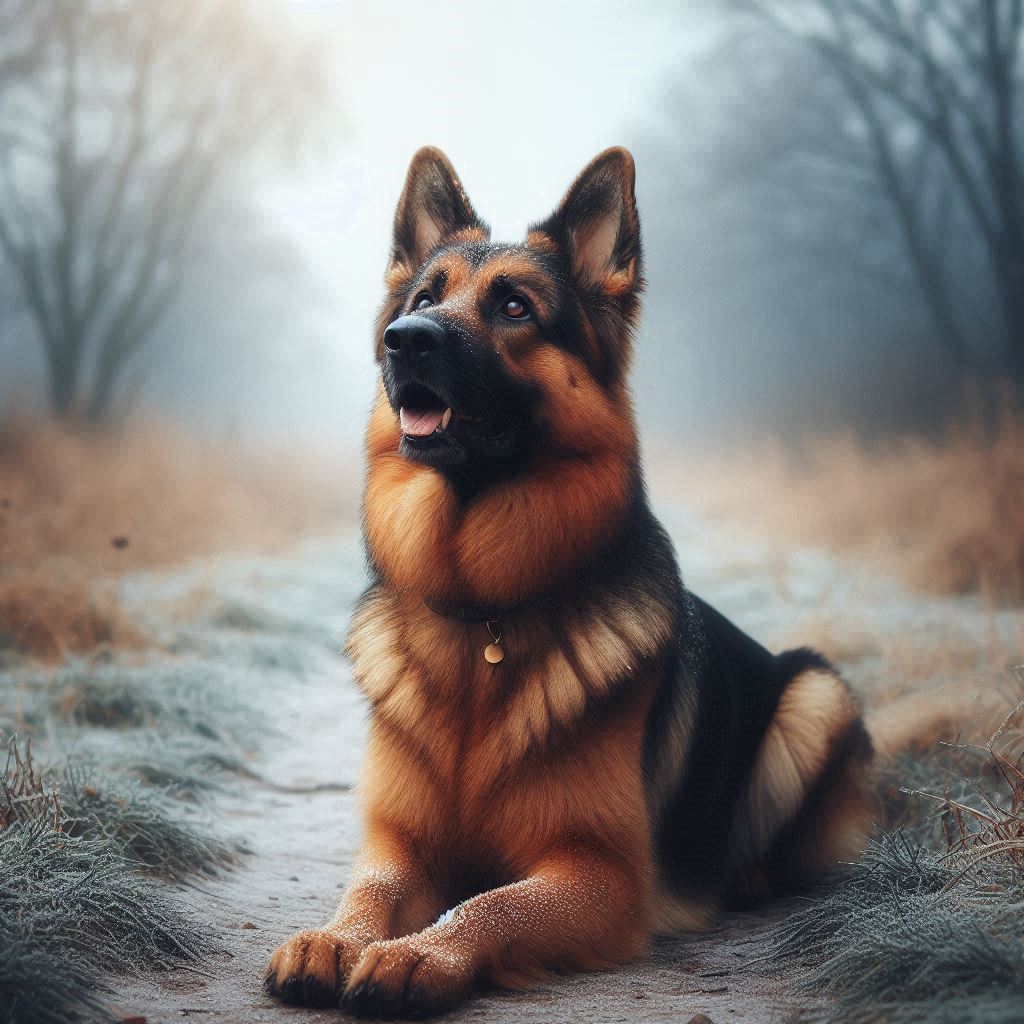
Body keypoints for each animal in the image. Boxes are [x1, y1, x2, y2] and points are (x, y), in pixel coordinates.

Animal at [266, 149, 872, 1015]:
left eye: (515, 306)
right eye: (425, 298)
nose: (402, 340)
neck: (484, 612)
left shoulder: (599, 874)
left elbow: (491, 903)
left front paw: (418, 954)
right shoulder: (400, 844)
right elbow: (370, 889)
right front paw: (336, 938)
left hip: (814, 694)